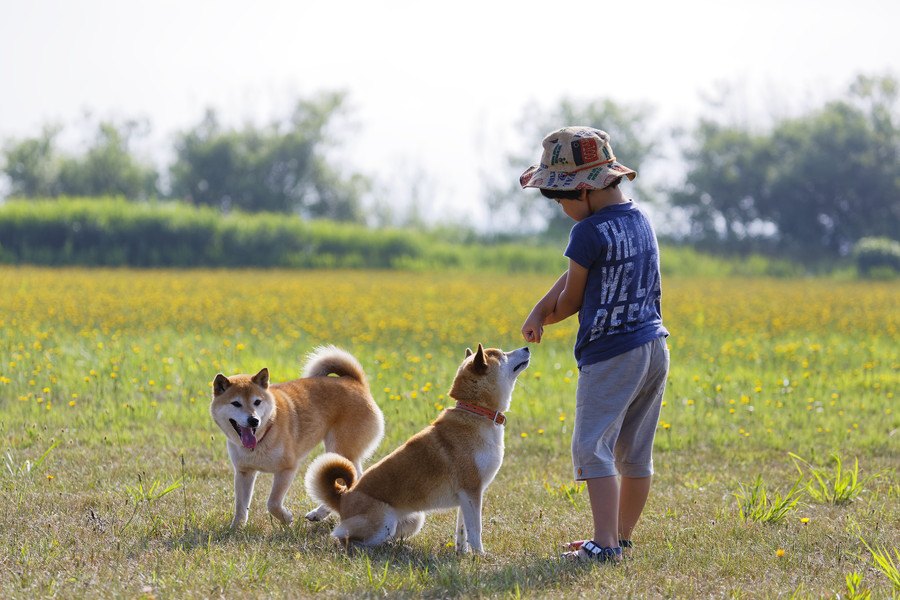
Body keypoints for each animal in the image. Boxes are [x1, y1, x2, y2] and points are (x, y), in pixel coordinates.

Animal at [211, 344, 384, 528]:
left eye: (257, 402)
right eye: (236, 403)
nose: (253, 420)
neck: (265, 433)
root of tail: (356, 382)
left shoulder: (287, 468)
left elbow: (272, 503)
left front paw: (286, 518)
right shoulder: (244, 472)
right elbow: (241, 506)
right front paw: (236, 527)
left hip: (339, 449)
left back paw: (322, 512)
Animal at [304, 344, 528, 556]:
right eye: (503, 354)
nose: (526, 347)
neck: (477, 414)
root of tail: (343, 499)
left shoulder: (468, 497)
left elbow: (462, 531)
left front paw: (462, 554)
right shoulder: (472, 490)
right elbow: (475, 530)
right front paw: (480, 556)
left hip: (415, 518)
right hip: (383, 521)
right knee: (347, 541)